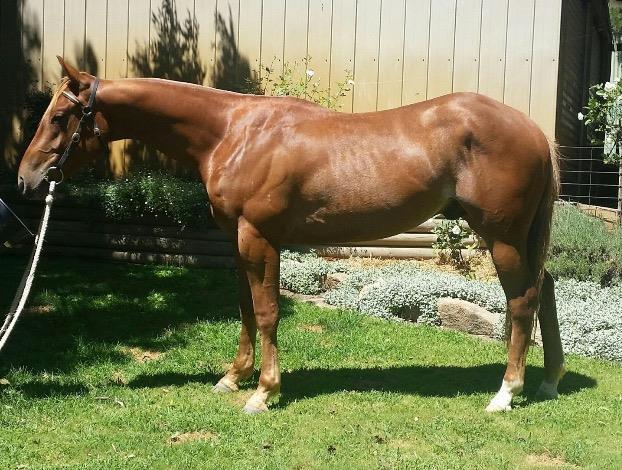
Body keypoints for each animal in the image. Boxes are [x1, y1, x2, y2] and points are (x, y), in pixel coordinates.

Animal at [17, 57, 565, 414]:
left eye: (60, 117)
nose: (26, 179)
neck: (234, 133)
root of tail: (533, 131)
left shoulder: (259, 238)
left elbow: (266, 311)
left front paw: (264, 392)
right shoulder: (237, 240)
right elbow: (243, 306)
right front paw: (233, 378)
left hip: (501, 236)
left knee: (522, 300)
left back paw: (506, 393)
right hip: (521, 237)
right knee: (546, 288)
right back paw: (549, 381)